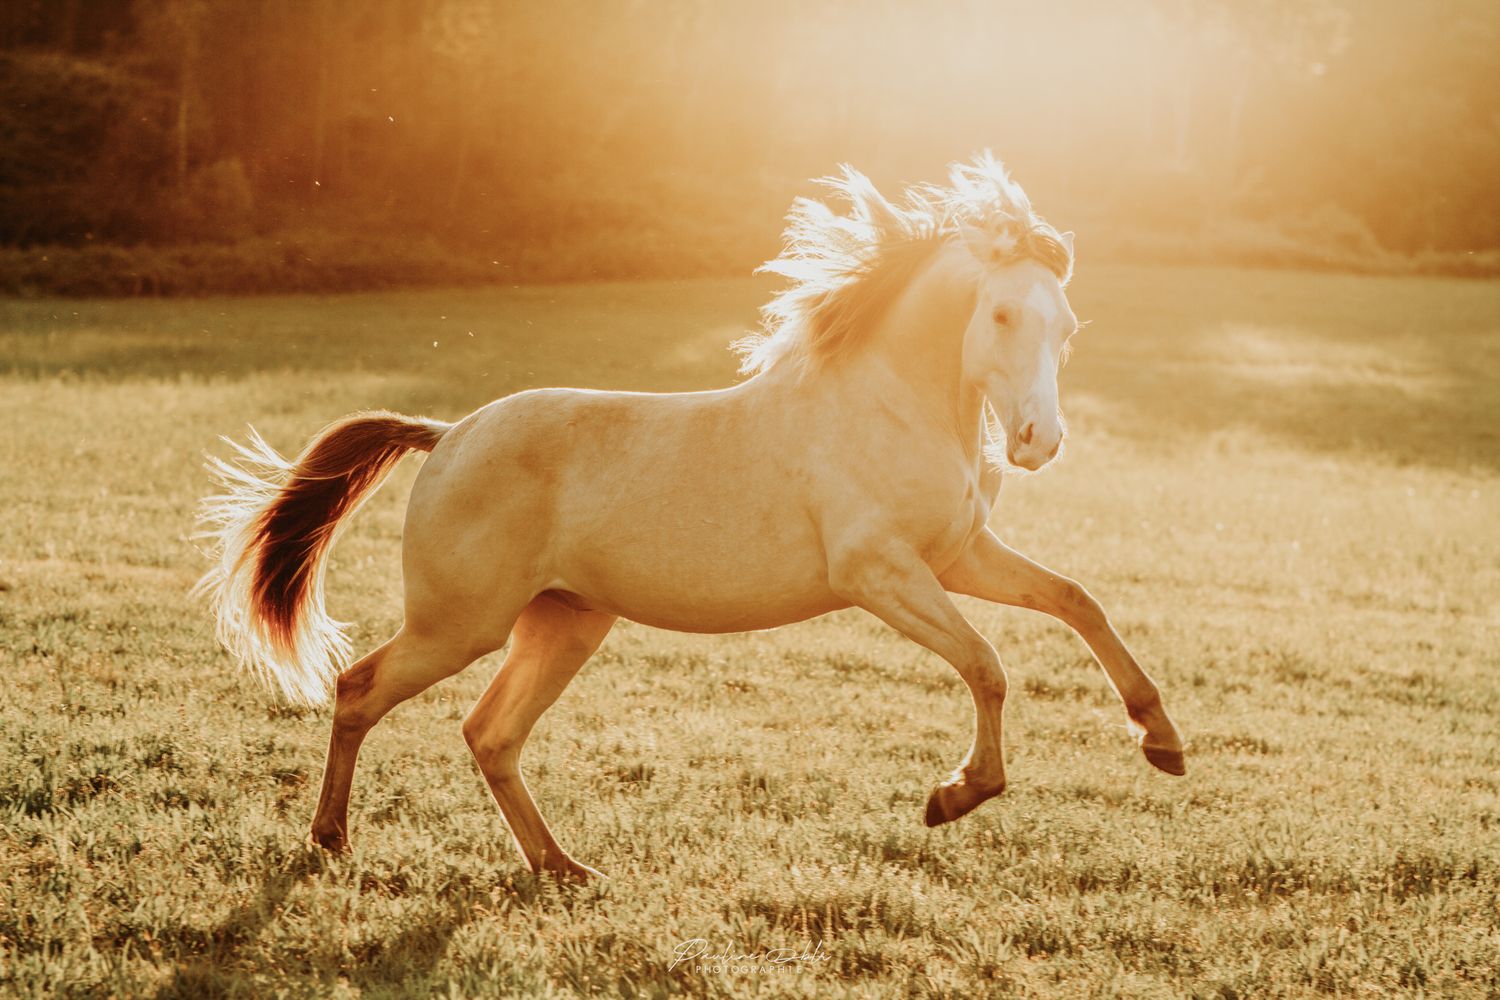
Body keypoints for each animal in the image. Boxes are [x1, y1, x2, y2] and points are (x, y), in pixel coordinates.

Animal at [197, 154, 1185, 881]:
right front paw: (955, 795)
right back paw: (332, 840)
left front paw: (1163, 742)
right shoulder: (881, 573)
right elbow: (986, 663)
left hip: (564, 623)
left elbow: (1076, 600)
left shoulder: (959, 555)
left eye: (1068, 326)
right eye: (1004, 312)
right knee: (361, 688)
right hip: (460, 624)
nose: (1036, 442)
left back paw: (561, 867)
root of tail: (448, 434)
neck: (891, 405)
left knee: (490, 734)